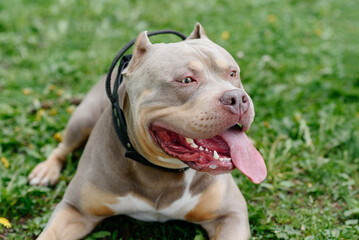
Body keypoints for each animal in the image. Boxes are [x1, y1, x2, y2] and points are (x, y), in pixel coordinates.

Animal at [28, 23, 268, 240]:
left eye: (233, 73)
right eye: (186, 80)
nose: (237, 98)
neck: (163, 170)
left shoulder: (230, 214)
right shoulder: (75, 209)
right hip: (83, 118)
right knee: (63, 147)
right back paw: (45, 171)